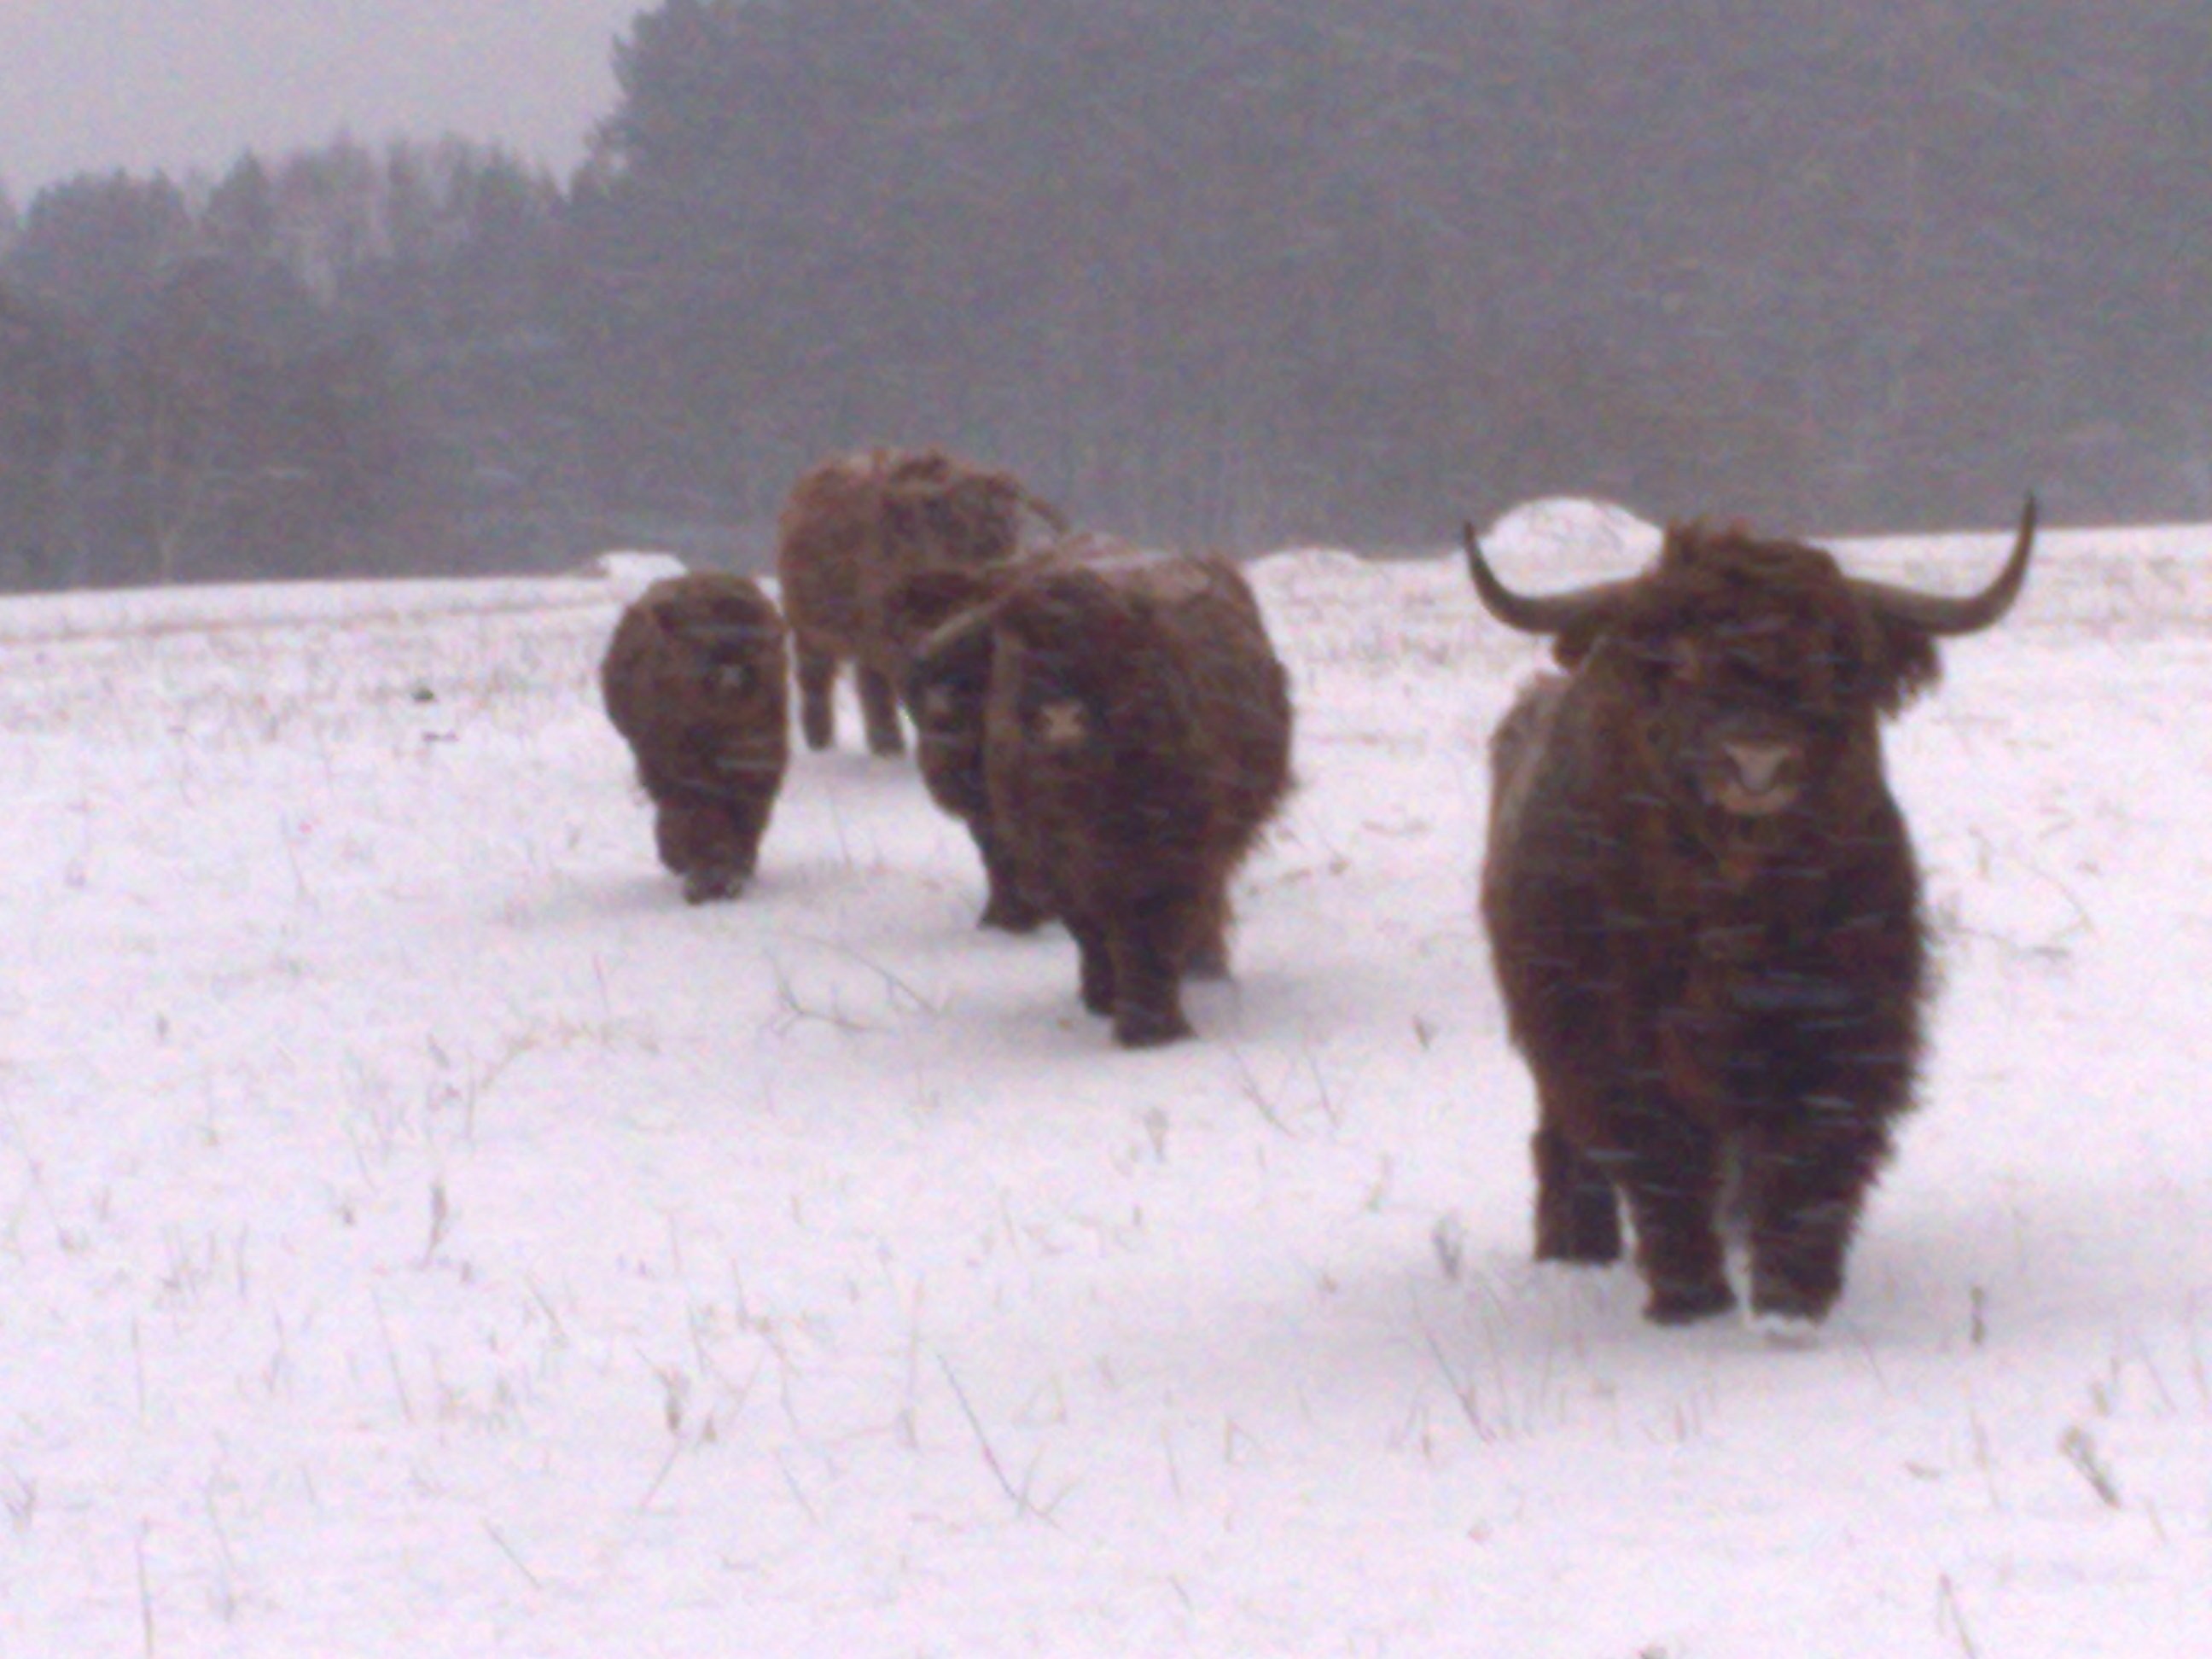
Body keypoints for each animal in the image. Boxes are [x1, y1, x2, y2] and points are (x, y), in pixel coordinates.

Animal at [600, 571, 790, 903]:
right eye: (697, 641)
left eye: (755, 644)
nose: (732, 674)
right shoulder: (679, 768)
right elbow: (697, 817)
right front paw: (704, 878)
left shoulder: (760, 762)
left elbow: (745, 816)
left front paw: (729, 875)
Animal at [774, 446, 1066, 757]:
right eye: (959, 521)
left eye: (1011, 522)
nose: (998, 562)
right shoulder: (892, 633)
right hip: (808, 624)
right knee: (818, 677)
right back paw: (827, 741)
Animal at [904, 543, 1294, 1045]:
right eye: (1020, 654)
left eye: (1113, 648)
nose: (1060, 720)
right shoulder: (1053, 858)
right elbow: (1089, 931)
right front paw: (1103, 998)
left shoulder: (1175, 852)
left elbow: (1157, 929)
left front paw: (1154, 1029)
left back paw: (1204, 967)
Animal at [1468, 500, 2036, 1326]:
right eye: (1677, 662)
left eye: (1831, 658)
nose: (1757, 763)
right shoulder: (1613, 1036)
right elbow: (1661, 1155)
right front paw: (1691, 1297)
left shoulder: (1845, 1023)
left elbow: (1812, 1151)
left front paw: (1792, 1296)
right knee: (1566, 1137)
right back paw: (1576, 1247)